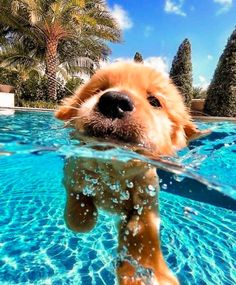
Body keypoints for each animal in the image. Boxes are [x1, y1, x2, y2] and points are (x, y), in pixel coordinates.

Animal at [54, 62, 208, 284]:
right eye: (99, 89)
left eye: (154, 101)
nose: (114, 101)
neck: (114, 168)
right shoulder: (72, 168)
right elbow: (78, 215)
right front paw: (85, 215)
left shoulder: (148, 193)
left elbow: (143, 231)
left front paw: (146, 271)